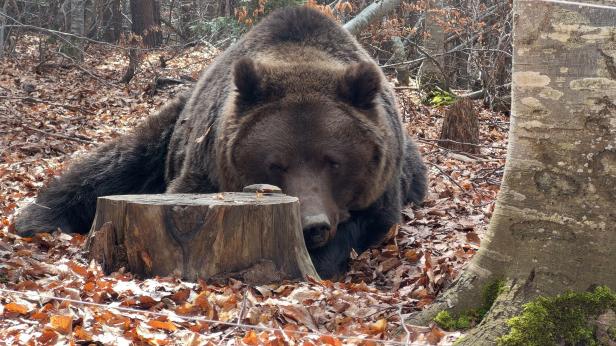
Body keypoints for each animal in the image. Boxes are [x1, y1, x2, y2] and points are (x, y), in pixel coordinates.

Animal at [15, 6, 428, 280]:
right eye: (276, 163)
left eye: (334, 160)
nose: (312, 225)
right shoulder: (206, 166)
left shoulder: (384, 182)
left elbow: (371, 221)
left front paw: (324, 256)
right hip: (169, 134)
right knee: (114, 165)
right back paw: (35, 218)